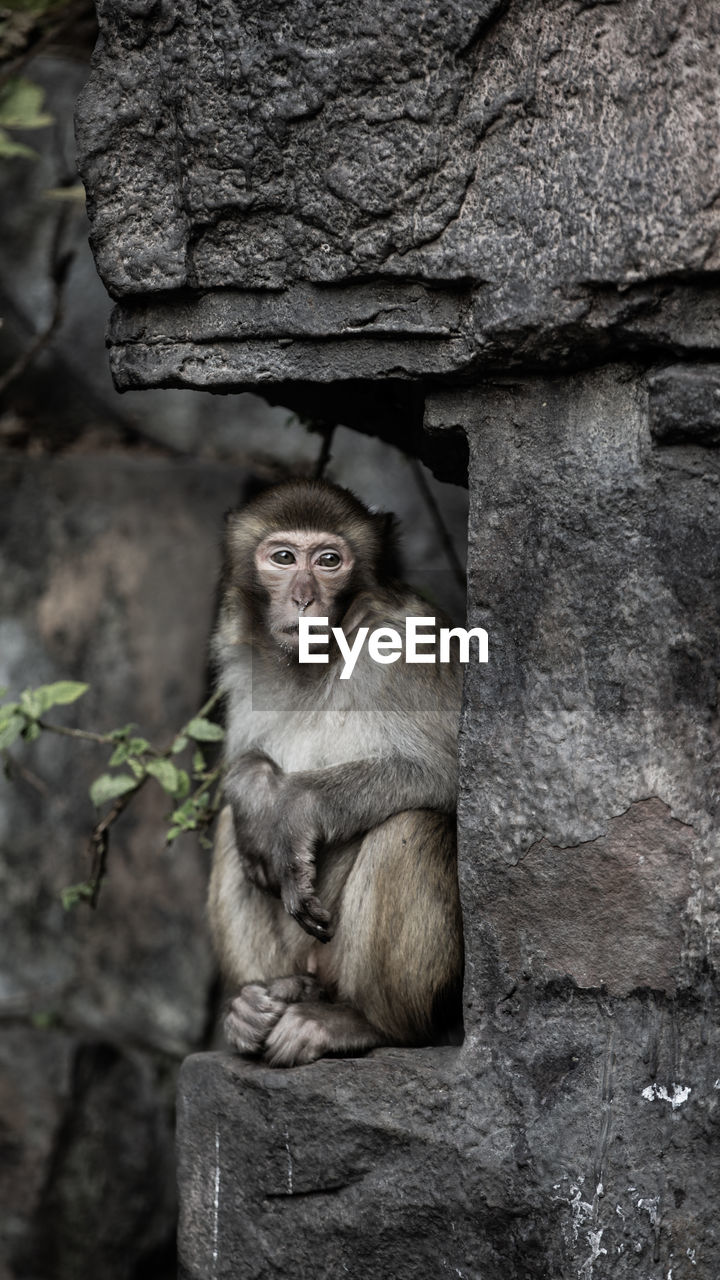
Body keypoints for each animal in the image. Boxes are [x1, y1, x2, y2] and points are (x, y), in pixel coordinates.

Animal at [207, 481, 461, 1070]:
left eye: (329, 561)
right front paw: (254, 787)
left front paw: (295, 810)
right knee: (232, 832)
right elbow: (241, 762)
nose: (303, 599)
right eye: (283, 558)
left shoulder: (409, 645)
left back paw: (363, 1025)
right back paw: (259, 1004)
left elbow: (451, 773)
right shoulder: (239, 656)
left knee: (412, 825)